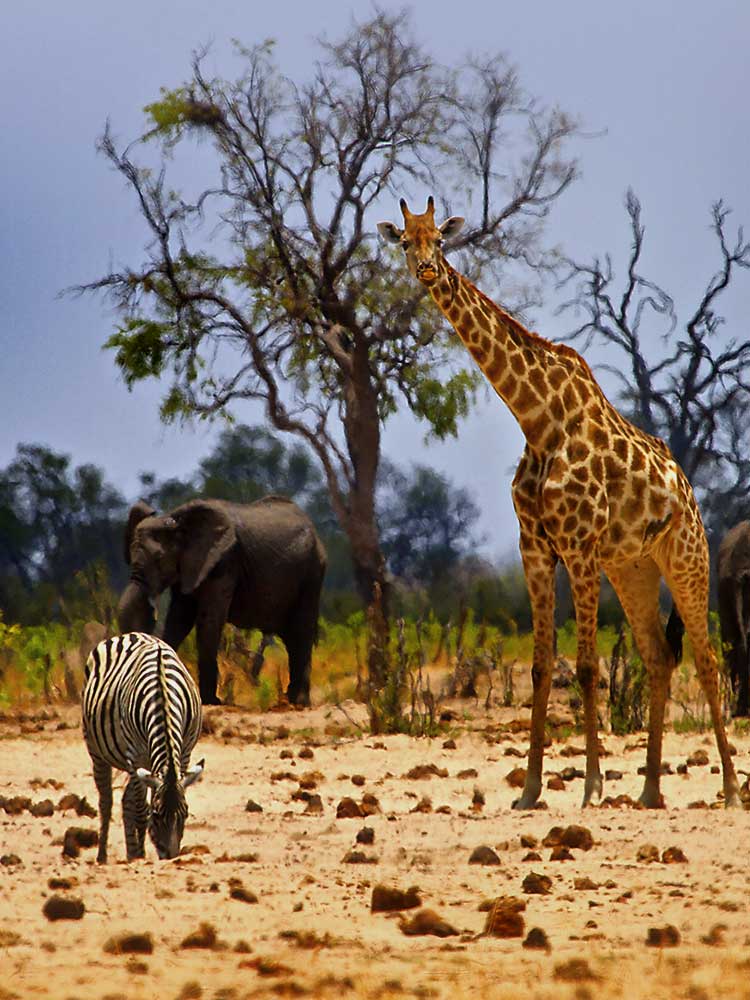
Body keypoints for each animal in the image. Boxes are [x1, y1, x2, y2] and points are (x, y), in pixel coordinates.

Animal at [82, 632, 205, 862]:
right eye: (157, 815)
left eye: (185, 813)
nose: (170, 857)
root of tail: (129, 634)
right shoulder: (136, 754)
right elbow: (140, 809)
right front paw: (139, 854)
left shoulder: (184, 753)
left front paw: (139, 851)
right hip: (96, 750)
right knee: (107, 801)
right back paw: (104, 856)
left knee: (126, 800)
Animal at [118, 495, 326, 707]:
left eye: (159, 559)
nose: (152, 610)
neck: (177, 521)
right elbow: (179, 620)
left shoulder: (224, 562)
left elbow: (208, 621)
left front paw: (210, 701)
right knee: (292, 638)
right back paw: (291, 699)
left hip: (312, 573)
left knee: (301, 630)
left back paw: (299, 702)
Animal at [378, 197, 741, 810]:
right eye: (405, 240)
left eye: (441, 241)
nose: (427, 270)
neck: (538, 419)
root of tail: (689, 491)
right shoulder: (536, 548)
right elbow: (543, 666)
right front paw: (528, 790)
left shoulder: (579, 546)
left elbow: (590, 666)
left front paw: (592, 786)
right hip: (634, 568)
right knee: (659, 656)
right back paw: (649, 791)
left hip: (688, 558)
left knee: (708, 659)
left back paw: (732, 791)